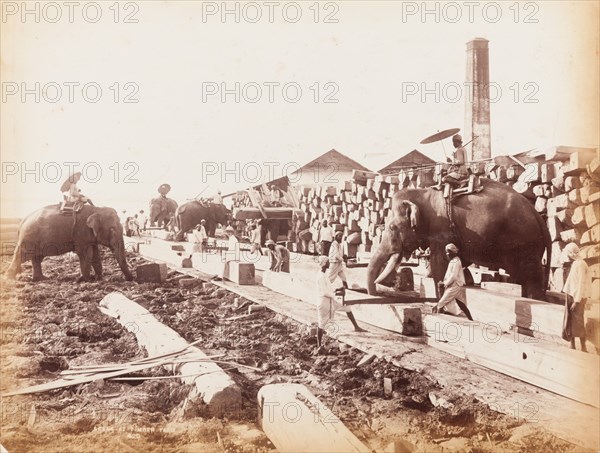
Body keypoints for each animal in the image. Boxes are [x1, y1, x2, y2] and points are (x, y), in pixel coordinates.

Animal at [2, 204, 134, 280]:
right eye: (112, 230)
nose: (131, 279)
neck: (97, 209)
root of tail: (22, 221)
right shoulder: (81, 233)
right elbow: (86, 254)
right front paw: (86, 280)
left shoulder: (90, 236)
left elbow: (95, 254)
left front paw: (98, 278)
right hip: (28, 238)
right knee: (22, 255)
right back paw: (8, 279)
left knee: (36, 258)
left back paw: (42, 279)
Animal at [364, 180, 552, 300]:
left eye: (392, 228)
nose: (376, 293)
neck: (423, 193)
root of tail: (539, 217)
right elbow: (460, 259)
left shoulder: (441, 228)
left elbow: (439, 262)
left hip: (526, 244)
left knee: (532, 277)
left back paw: (535, 299)